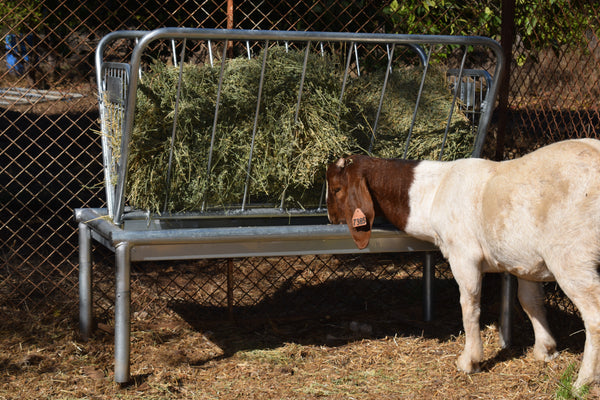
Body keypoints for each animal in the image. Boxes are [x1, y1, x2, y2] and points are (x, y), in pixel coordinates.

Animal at [326, 139, 600, 390]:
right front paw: (545, 350)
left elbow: (469, 305)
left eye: (337, 188)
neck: (433, 191)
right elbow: (530, 301)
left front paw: (470, 361)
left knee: (594, 316)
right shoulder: (526, 263)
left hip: (572, 257)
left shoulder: (463, 254)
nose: (330, 217)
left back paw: (583, 382)